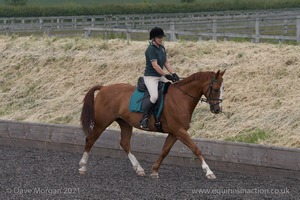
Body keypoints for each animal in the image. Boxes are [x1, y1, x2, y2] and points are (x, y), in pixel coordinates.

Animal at [79, 70, 225, 180]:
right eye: (216, 89)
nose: (217, 110)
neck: (181, 97)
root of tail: (104, 88)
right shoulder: (179, 131)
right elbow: (195, 148)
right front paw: (209, 172)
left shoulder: (174, 132)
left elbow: (165, 150)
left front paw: (154, 171)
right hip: (101, 123)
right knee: (90, 140)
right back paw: (82, 166)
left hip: (125, 123)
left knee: (125, 143)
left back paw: (139, 169)